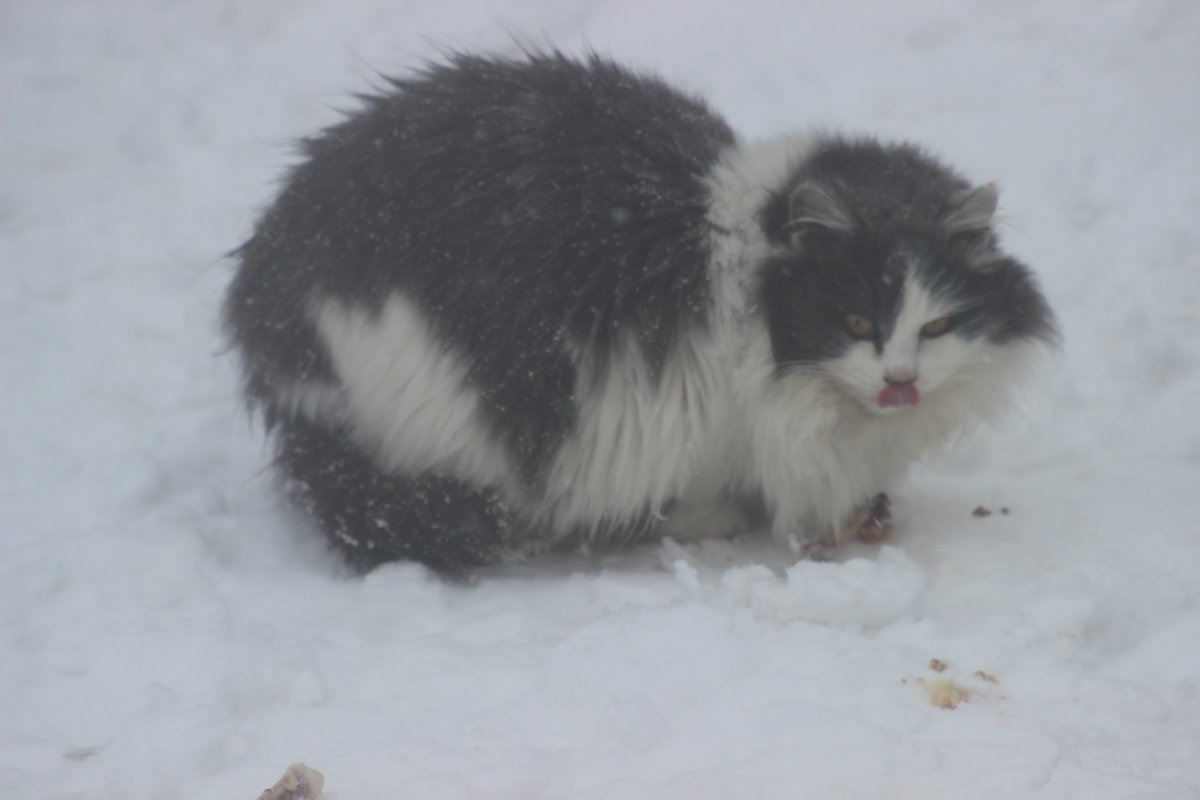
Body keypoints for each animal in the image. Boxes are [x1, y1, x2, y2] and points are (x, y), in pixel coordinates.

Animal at [223, 51, 1051, 575]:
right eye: (855, 323)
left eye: (937, 327)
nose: (900, 381)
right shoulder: (690, 415)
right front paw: (717, 517)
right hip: (440, 406)